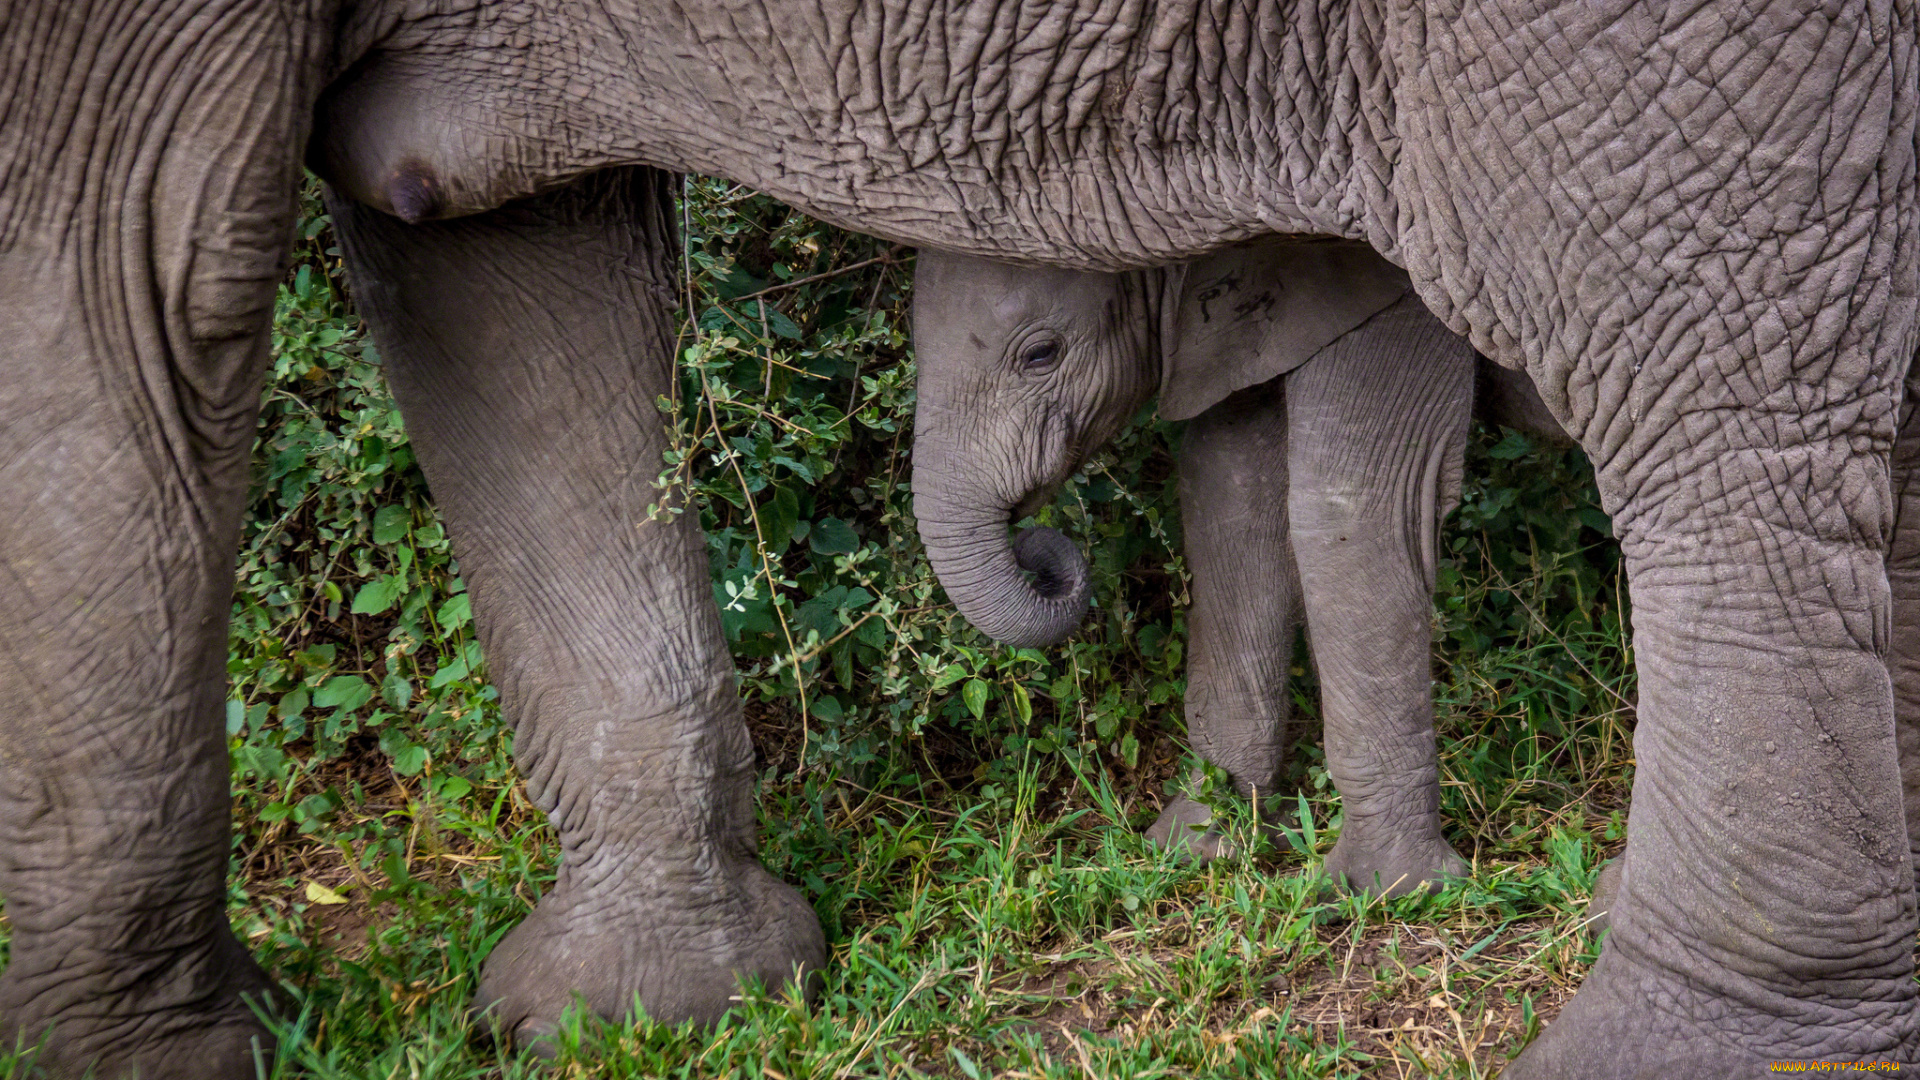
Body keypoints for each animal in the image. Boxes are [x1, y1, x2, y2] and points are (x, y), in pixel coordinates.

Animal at [910, 239, 1559, 895]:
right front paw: (1193, 845)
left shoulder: (1387, 300)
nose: (1038, 550)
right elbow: (1228, 489)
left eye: (1041, 354)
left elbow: (1351, 508)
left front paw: (1385, 889)